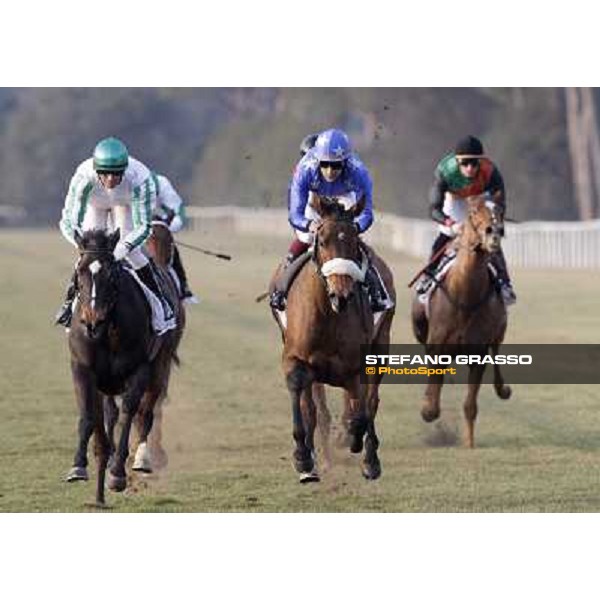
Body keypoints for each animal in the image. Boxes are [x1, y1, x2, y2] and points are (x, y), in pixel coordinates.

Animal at [270, 197, 394, 482]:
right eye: (323, 240)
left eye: (353, 242)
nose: (342, 295)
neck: (329, 313)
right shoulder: (295, 356)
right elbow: (303, 399)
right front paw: (304, 458)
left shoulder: (358, 365)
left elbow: (362, 409)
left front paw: (358, 443)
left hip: (382, 342)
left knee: (370, 401)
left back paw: (369, 458)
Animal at [410, 195, 512, 448]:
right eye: (474, 211)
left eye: (500, 210)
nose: (494, 232)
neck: (465, 296)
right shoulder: (437, 345)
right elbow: (431, 405)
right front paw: (428, 405)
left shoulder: (479, 352)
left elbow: (470, 405)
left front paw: (469, 443)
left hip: (499, 331)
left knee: (497, 355)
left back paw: (503, 389)